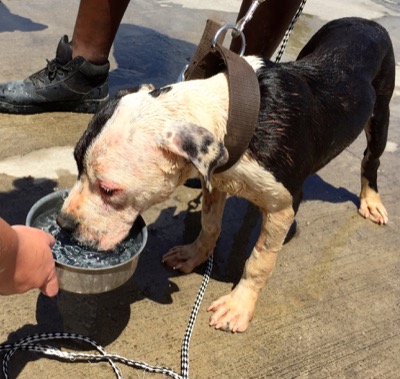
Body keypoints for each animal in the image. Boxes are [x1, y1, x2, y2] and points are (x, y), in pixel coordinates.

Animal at [57, 17, 396, 332]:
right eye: (76, 166)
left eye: (108, 189)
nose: (63, 223)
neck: (232, 114)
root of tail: (365, 22)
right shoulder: (215, 181)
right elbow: (209, 225)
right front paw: (193, 255)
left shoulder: (284, 206)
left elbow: (260, 260)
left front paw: (239, 305)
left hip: (380, 112)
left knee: (371, 160)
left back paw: (371, 200)